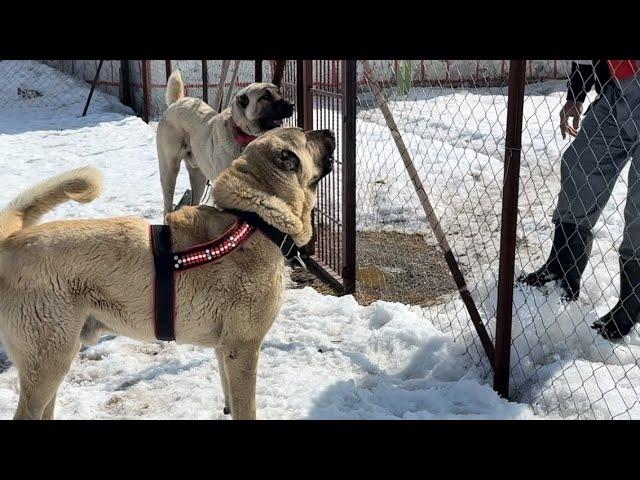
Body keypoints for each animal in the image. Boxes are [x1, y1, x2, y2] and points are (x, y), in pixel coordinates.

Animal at [0, 127, 336, 420]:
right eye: (306, 136)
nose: (330, 131)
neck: (254, 220)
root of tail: (10, 242)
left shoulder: (225, 350)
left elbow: (229, 397)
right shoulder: (243, 348)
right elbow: (246, 408)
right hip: (48, 362)